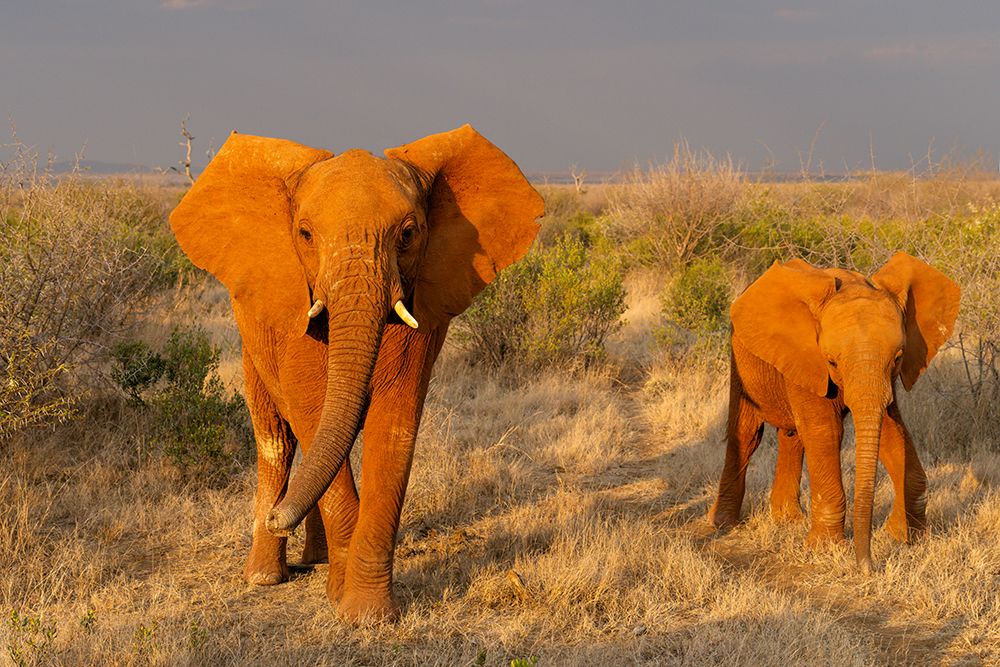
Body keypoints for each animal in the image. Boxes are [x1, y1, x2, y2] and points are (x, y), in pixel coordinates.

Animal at [169, 125, 543, 621]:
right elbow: (311, 413)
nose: (278, 518)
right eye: (305, 234)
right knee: (277, 438)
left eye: (409, 233)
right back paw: (266, 575)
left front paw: (366, 614)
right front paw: (340, 599)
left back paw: (313, 557)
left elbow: (395, 425)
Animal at [708, 253, 960, 571]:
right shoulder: (807, 357)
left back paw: (787, 520)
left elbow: (891, 432)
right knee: (747, 434)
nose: (868, 566)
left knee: (791, 436)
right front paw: (825, 548)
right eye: (832, 362)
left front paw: (905, 537)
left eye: (898, 358)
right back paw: (722, 524)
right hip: (742, 359)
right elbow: (825, 432)